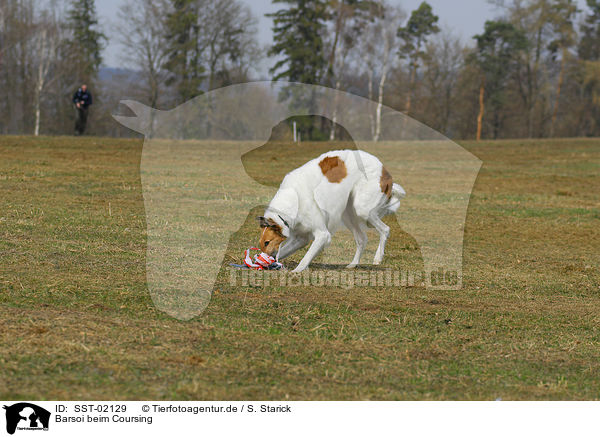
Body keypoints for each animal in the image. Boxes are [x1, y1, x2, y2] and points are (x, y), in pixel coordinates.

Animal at [255, 151, 406, 272]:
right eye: (261, 243)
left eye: (267, 242)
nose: (264, 259)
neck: (294, 199)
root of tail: (383, 169)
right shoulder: (301, 237)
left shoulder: (322, 234)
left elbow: (306, 257)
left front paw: (296, 270)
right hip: (348, 214)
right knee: (362, 238)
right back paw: (353, 264)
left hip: (362, 209)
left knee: (385, 229)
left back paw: (378, 257)